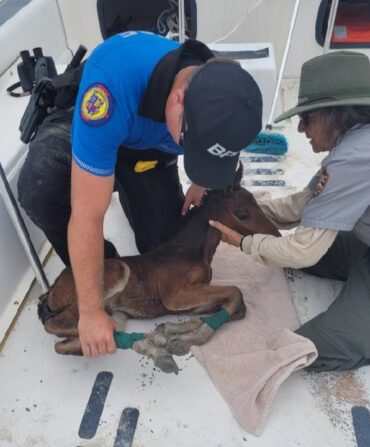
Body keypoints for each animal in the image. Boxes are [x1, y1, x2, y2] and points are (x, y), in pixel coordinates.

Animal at [39, 165, 278, 374]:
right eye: (242, 213)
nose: (276, 235)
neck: (190, 251)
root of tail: (50, 293)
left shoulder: (195, 301)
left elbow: (236, 307)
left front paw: (169, 332)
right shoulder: (175, 296)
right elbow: (236, 292)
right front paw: (186, 340)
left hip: (114, 311)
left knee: (74, 340)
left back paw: (152, 348)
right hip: (115, 273)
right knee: (61, 325)